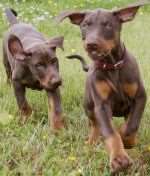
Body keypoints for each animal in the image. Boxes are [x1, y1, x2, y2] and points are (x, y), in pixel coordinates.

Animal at [56, 0, 149, 174]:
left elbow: (131, 125)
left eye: (108, 25)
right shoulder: (102, 105)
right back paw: (91, 143)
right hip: (88, 106)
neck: (112, 66)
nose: (91, 44)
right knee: (95, 125)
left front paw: (128, 140)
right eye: (85, 25)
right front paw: (119, 158)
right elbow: (110, 131)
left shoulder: (140, 97)